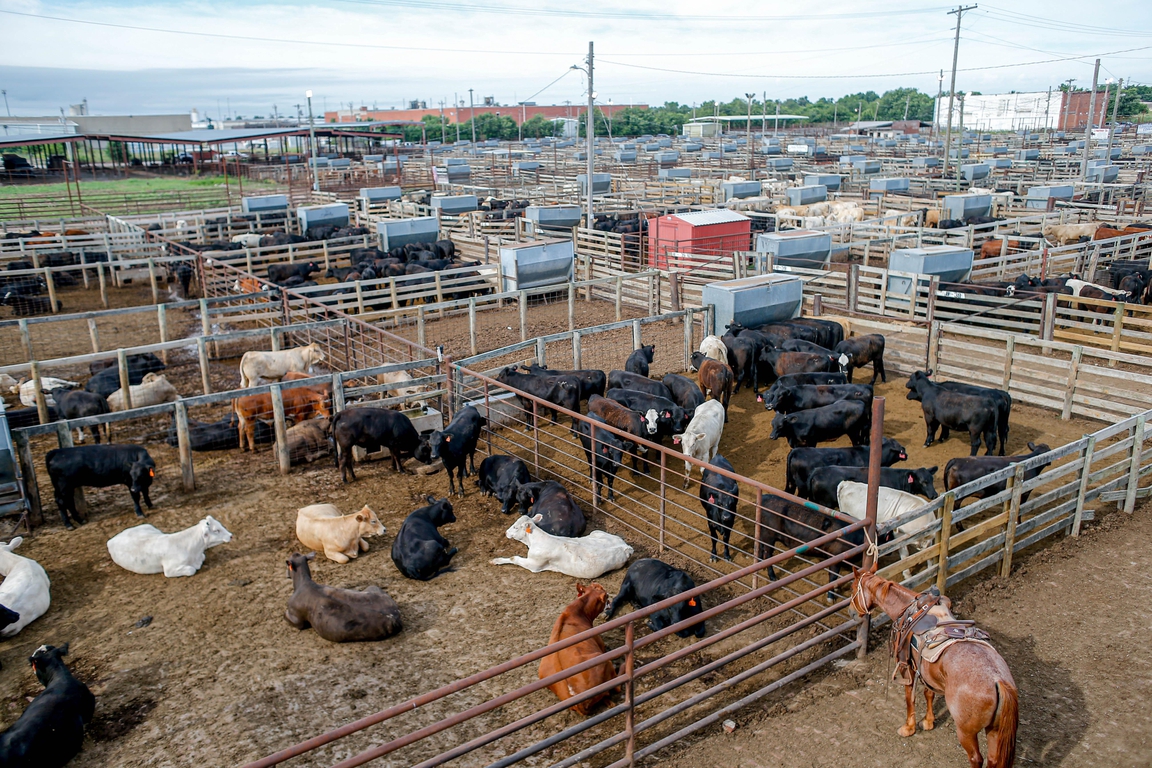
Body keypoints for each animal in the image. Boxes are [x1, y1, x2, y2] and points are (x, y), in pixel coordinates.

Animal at [490, 513, 635, 580]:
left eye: (515, 527)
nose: (506, 532)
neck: (535, 541)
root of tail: (625, 546)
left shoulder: (534, 564)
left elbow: (514, 558)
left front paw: (496, 560)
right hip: (597, 531)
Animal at [541, 584, 622, 718]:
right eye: (606, 596)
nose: (610, 599)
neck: (576, 612)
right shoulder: (600, 643)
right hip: (604, 661)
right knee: (616, 688)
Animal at [847, 561, 1018, 764]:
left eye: (852, 588)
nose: (850, 611)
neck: (908, 610)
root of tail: (998, 681)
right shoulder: (926, 671)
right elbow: (929, 693)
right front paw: (929, 721)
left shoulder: (907, 667)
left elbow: (910, 698)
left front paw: (908, 728)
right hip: (995, 731)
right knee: (993, 759)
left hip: (967, 732)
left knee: (976, 758)